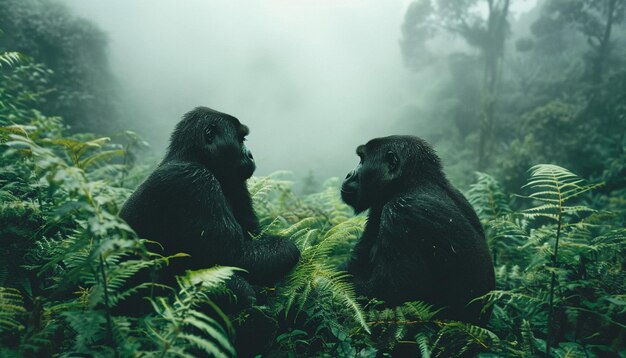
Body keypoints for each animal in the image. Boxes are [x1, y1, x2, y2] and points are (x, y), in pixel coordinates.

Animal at [121, 105, 300, 308]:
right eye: (241, 139)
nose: (250, 154)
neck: (194, 157)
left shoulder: (234, 180)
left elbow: (253, 235)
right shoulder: (195, 179)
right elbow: (233, 257)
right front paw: (290, 248)